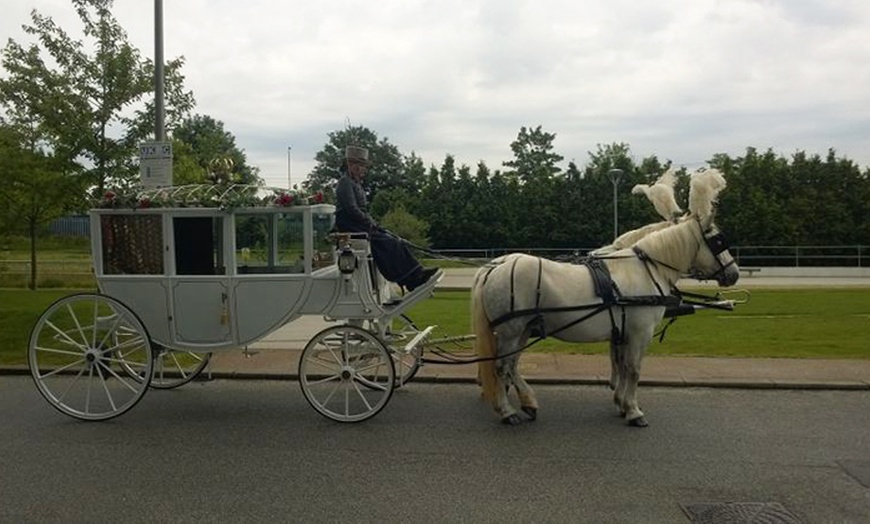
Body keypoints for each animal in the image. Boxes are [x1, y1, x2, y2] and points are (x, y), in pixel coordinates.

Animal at [474, 205, 740, 426]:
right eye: (718, 240)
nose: (734, 273)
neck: (646, 270)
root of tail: (496, 265)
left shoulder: (622, 332)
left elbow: (621, 366)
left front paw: (621, 403)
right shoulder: (639, 333)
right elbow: (633, 369)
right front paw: (633, 411)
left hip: (523, 330)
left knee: (511, 365)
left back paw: (527, 403)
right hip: (511, 331)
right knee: (501, 367)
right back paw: (507, 412)